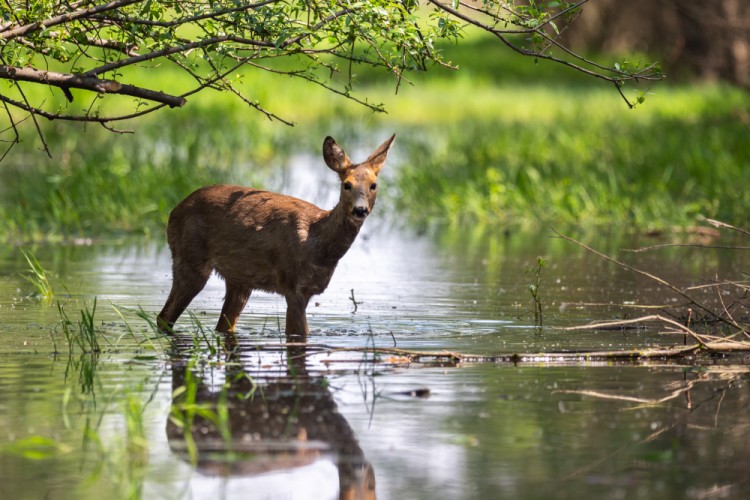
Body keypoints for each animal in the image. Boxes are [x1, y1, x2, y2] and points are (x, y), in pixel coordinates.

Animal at [156, 133, 396, 338]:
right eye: (347, 185)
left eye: (374, 185)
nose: (360, 210)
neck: (319, 243)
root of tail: (174, 210)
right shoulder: (292, 285)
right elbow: (298, 335)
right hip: (190, 258)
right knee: (164, 317)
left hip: (238, 280)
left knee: (222, 326)